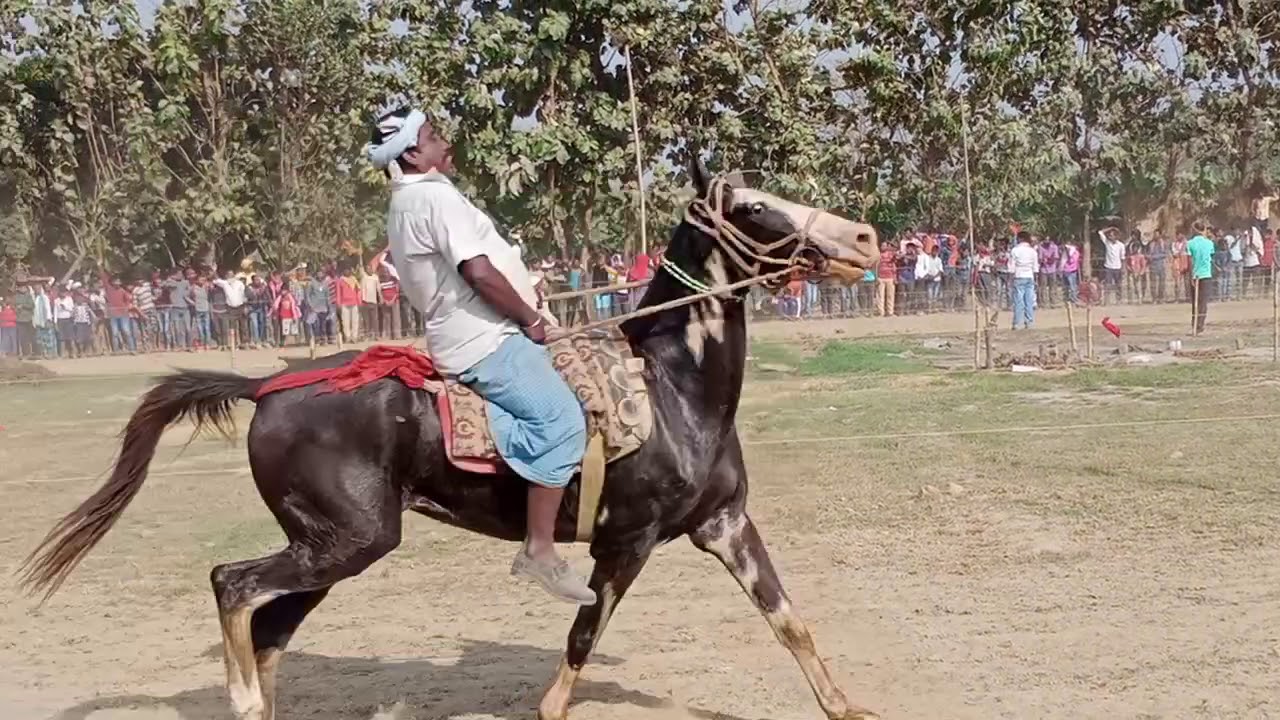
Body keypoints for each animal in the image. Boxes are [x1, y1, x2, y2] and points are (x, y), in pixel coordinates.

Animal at [20, 159, 882, 720]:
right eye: (757, 207)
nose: (869, 240)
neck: (672, 388)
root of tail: (267, 387)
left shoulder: (725, 524)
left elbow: (790, 622)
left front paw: (848, 706)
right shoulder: (625, 543)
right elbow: (575, 652)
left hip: (329, 546)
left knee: (267, 629)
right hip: (345, 542)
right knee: (231, 584)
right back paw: (236, 692)